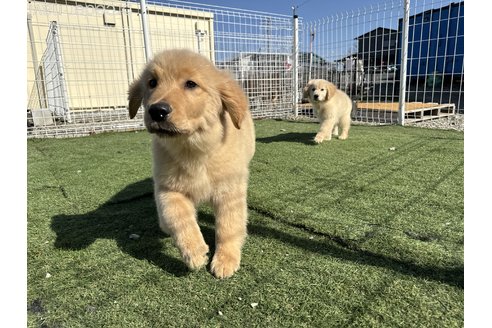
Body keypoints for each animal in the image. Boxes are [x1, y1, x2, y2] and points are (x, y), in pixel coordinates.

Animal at [127, 49, 256, 280]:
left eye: (191, 84)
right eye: (152, 82)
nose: (157, 111)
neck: (193, 149)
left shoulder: (230, 192)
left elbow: (229, 227)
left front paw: (225, 260)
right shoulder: (168, 189)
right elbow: (178, 217)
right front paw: (194, 251)